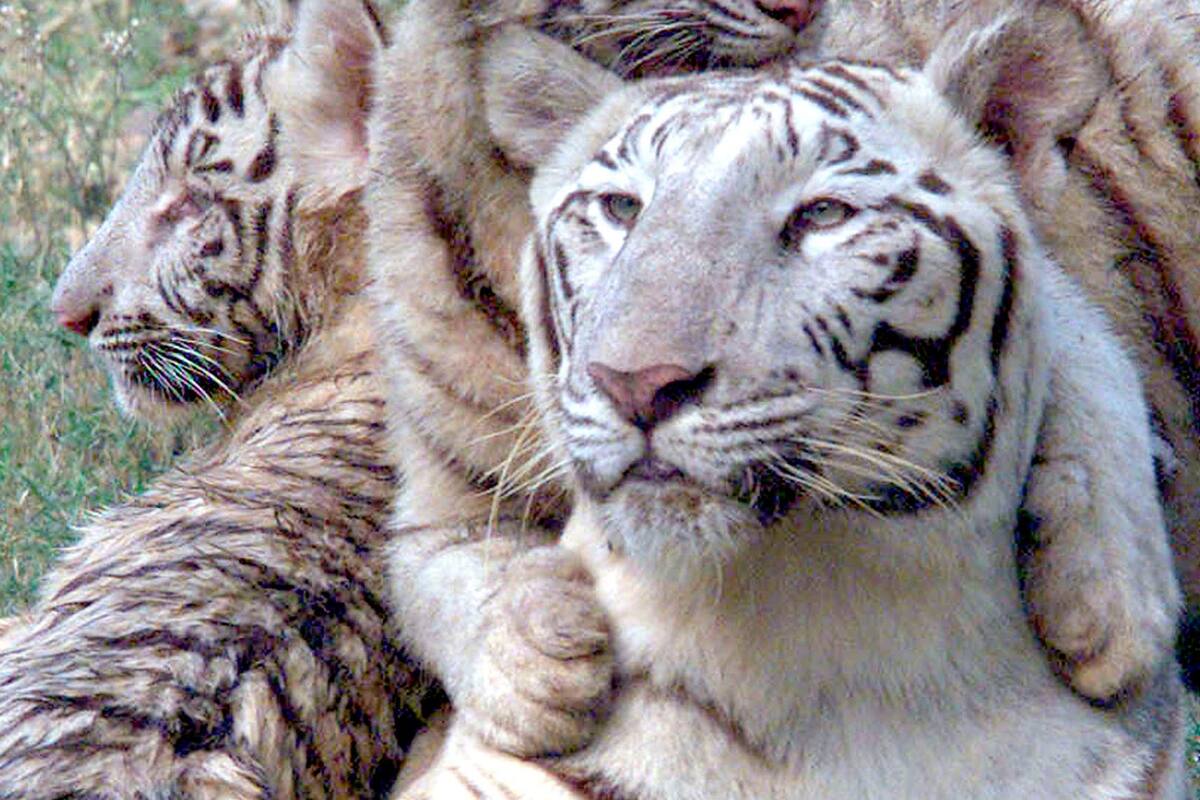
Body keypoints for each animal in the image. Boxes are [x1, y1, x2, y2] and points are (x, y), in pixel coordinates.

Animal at [367, 0, 1182, 760]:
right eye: (621, 209)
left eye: (820, 214)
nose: (638, 386)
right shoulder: (443, 493)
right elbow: (442, 570)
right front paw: (536, 659)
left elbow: (1088, 361)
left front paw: (1110, 601)